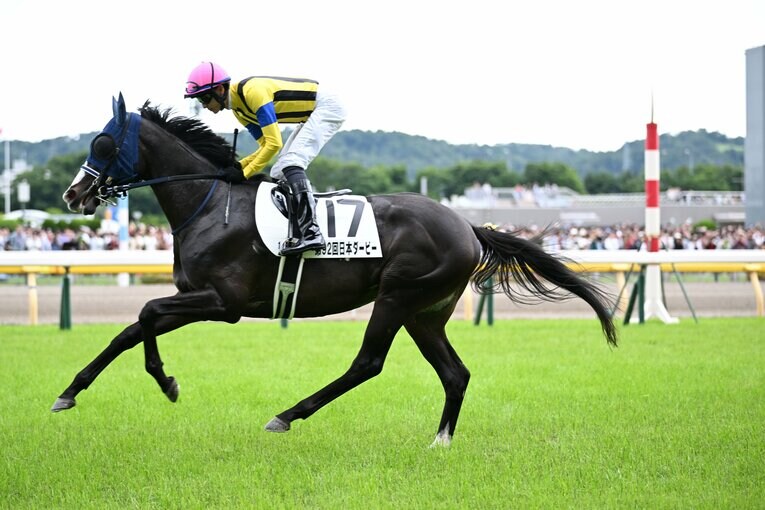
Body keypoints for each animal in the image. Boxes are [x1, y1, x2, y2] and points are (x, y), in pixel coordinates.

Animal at [55, 94, 617, 447]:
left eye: (103, 144)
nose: (73, 195)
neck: (209, 202)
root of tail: (467, 225)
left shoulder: (224, 303)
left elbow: (148, 312)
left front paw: (165, 380)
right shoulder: (198, 298)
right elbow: (131, 328)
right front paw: (69, 392)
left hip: (397, 297)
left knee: (367, 363)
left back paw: (286, 415)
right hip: (426, 312)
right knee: (454, 373)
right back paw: (439, 441)